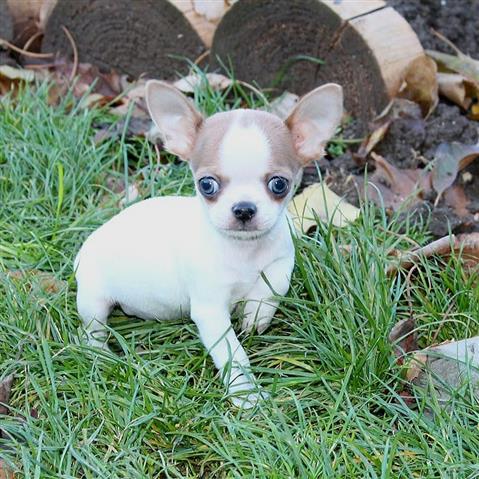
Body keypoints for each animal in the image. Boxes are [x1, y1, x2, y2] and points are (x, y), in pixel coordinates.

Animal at [75, 80, 344, 406]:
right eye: (207, 185)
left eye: (279, 184)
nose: (244, 209)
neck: (244, 251)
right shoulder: (211, 310)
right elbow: (232, 354)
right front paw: (246, 394)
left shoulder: (283, 256)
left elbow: (274, 284)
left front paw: (256, 313)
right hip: (93, 300)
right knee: (91, 332)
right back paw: (102, 355)